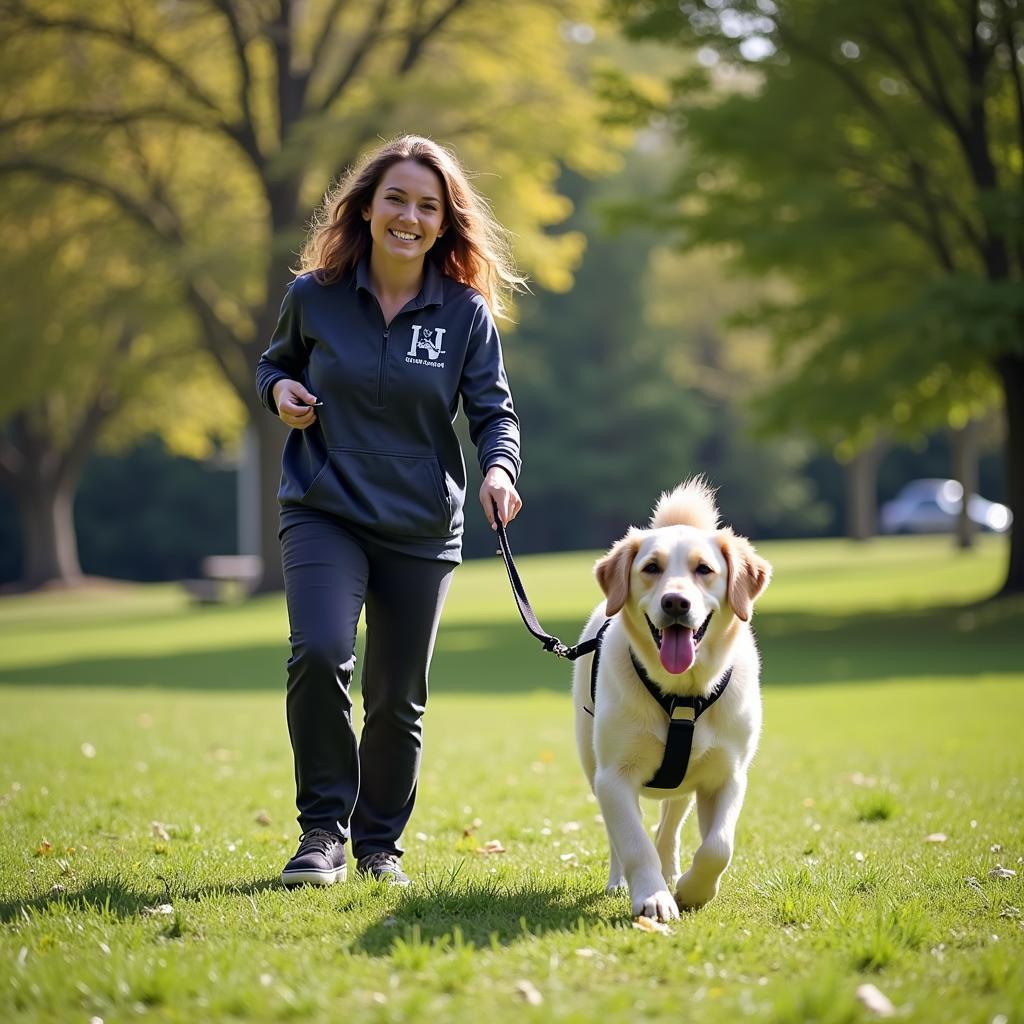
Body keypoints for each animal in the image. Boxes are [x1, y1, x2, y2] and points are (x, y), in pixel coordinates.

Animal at [573, 477, 770, 921]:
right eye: (651, 568)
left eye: (704, 569)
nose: (676, 602)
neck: (682, 693)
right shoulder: (613, 776)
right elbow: (633, 843)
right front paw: (653, 896)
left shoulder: (728, 775)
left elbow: (718, 847)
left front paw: (693, 890)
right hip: (592, 765)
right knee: (620, 837)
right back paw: (621, 881)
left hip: (682, 785)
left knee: (669, 828)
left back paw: (673, 871)